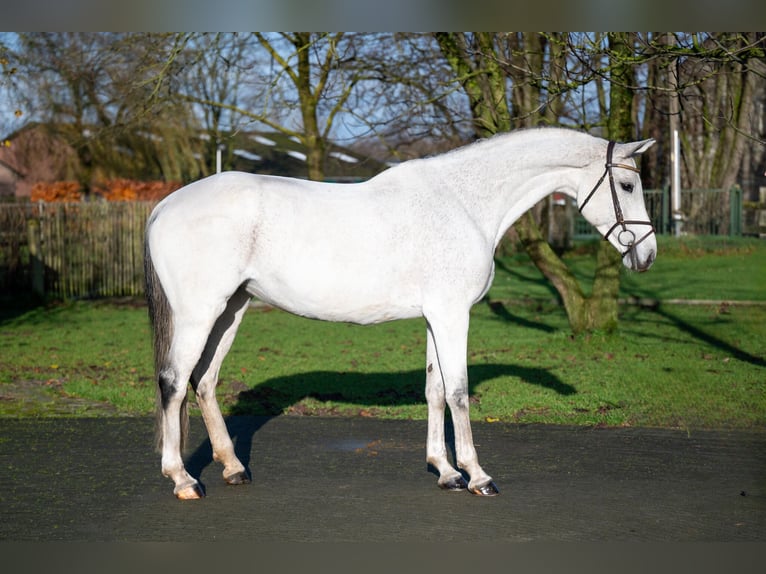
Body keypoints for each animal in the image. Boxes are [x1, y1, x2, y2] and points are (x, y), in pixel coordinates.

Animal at [146, 126, 660, 500]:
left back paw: (233, 468)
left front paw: (445, 471)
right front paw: (477, 476)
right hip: (200, 312)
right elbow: (458, 392)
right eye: (628, 184)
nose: (648, 255)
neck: (464, 203)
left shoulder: (436, 316)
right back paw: (183, 479)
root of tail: (165, 206)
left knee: (205, 380)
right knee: (174, 381)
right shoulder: (453, 315)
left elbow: (434, 391)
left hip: (231, 309)